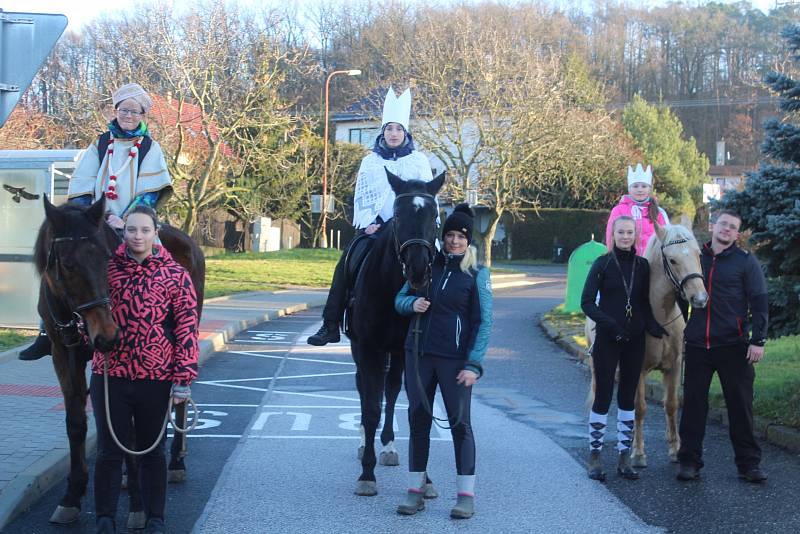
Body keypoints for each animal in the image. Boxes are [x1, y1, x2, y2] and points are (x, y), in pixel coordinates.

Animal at [37, 197, 206, 528]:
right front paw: (72, 496)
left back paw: (175, 462)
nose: (107, 336)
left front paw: (137, 506)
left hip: (187, 332)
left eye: (107, 259)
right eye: (68, 265)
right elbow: (76, 422)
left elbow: (127, 428)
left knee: (180, 400)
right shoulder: (63, 354)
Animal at [346, 169, 444, 498]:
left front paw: (425, 478)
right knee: (366, 391)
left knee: (389, 392)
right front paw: (367, 473)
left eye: (435, 215)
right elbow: (371, 407)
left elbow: (415, 407)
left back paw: (388, 445)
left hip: (397, 354)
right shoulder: (368, 349)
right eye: (398, 215)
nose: (418, 269)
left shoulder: (411, 352)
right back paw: (364, 442)